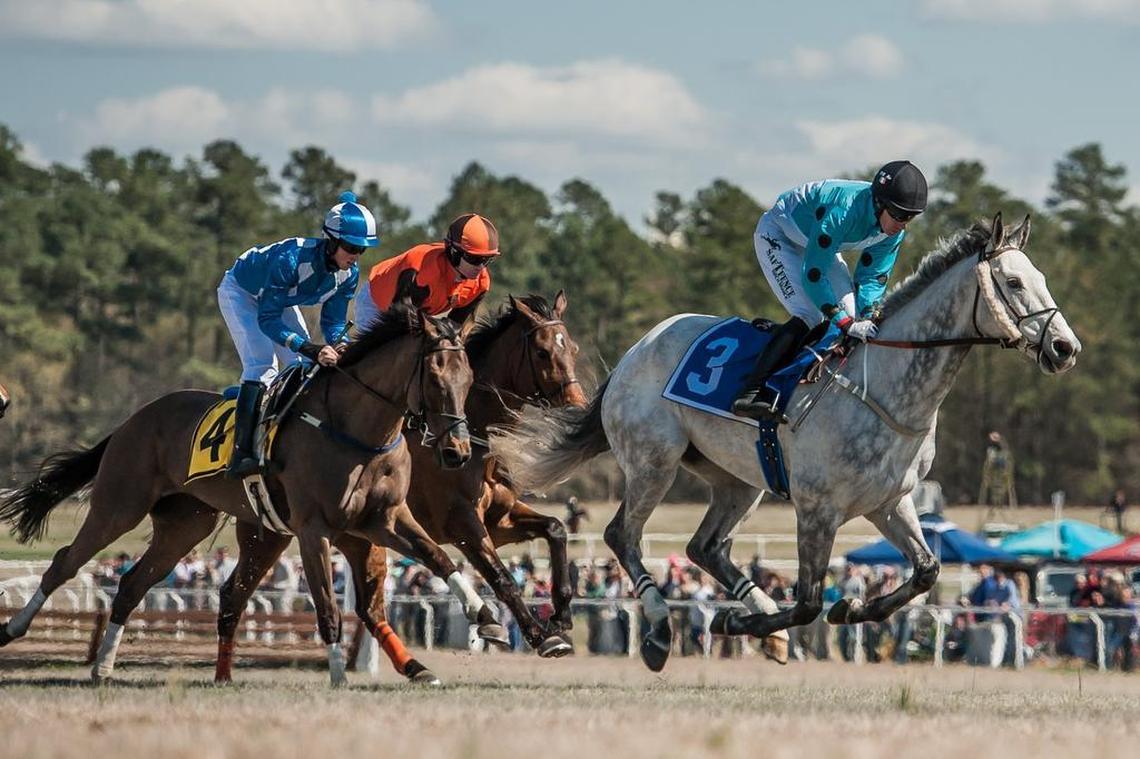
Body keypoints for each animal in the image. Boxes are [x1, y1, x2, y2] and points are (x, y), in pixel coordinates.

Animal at [0, 304, 505, 686]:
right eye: (436, 377)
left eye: (467, 379)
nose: (457, 451)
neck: (357, 430)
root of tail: (133, 419)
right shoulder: (314, 528)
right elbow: (328, 606)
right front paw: (338, 675)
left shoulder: (382, 519)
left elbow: (438, 556)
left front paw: (485, 614)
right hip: (119, 504)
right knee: (65, 562)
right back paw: (14, 627)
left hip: (185, 524)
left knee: (131, 585)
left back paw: (103, 667)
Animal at [207, 292, 588, 684]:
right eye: (542, 352)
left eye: (572, 348)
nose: (578, 407)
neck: (473, 431)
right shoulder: (460, 522)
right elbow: (501, 576)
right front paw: (539, 636)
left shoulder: (499, 518)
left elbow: (556, 529)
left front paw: (561, 615)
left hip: (289, 535)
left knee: (247, 595)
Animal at [490, 214, 1081, 671]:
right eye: (1014, 282)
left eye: (1042, 278)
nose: (1064, 347)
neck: (888, 386)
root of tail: (637, 350)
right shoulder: (817, 508)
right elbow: (807, 603)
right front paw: (741, 623)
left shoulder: (890, 502)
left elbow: (926, 570)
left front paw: (848, 611)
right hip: (653, 461)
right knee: (623, 536)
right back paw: (659, 629)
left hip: (737, 481)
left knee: (704, 547)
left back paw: (754, 625)